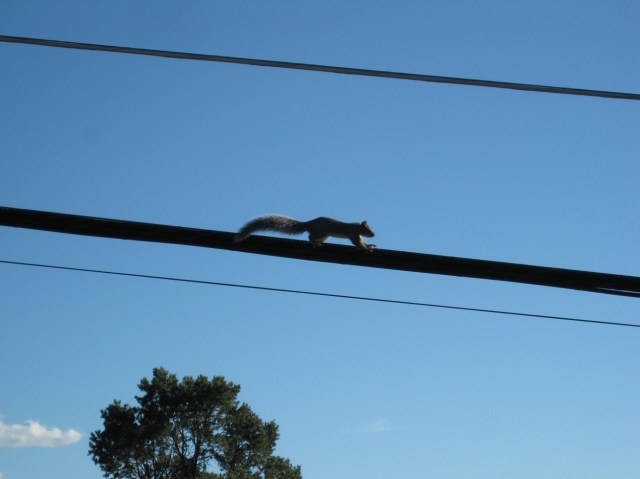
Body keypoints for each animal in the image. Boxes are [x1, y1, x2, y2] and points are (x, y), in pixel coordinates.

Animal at [234, 215, 376, 250]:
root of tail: (309, 223)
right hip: (322, 231)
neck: (357, 228)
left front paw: (369, 245)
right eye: (368, 229)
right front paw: (366, 248)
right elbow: (357, 243)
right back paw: (314, 243)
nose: (374, 235)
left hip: (325, 235)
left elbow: (362, 241)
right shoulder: (353, 234)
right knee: (310, 236)